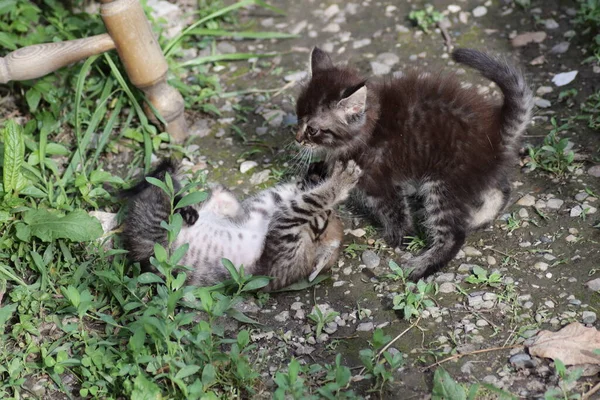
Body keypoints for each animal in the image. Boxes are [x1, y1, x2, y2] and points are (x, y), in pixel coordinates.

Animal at [122, 159, 360, 290]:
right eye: (330, 214)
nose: (332, 212)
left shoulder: (284, 235)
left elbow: (309, 200)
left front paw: (341, 182)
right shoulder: (266, 207)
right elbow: (297, 193)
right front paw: (320, 173)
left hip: (157, 234)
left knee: (157, 195)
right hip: (225, 199)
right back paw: (183, 202)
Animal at [292, 47, 532, 282]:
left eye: (312, 130)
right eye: (297, 118)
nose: (297, 139)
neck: (369, 128)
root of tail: (497, 135)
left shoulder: (381, 180)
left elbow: (394, 210)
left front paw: (402, 236)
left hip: (443, 182)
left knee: (454, 234)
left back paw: (421, 267)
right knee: (500, 189)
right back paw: (478, 217)